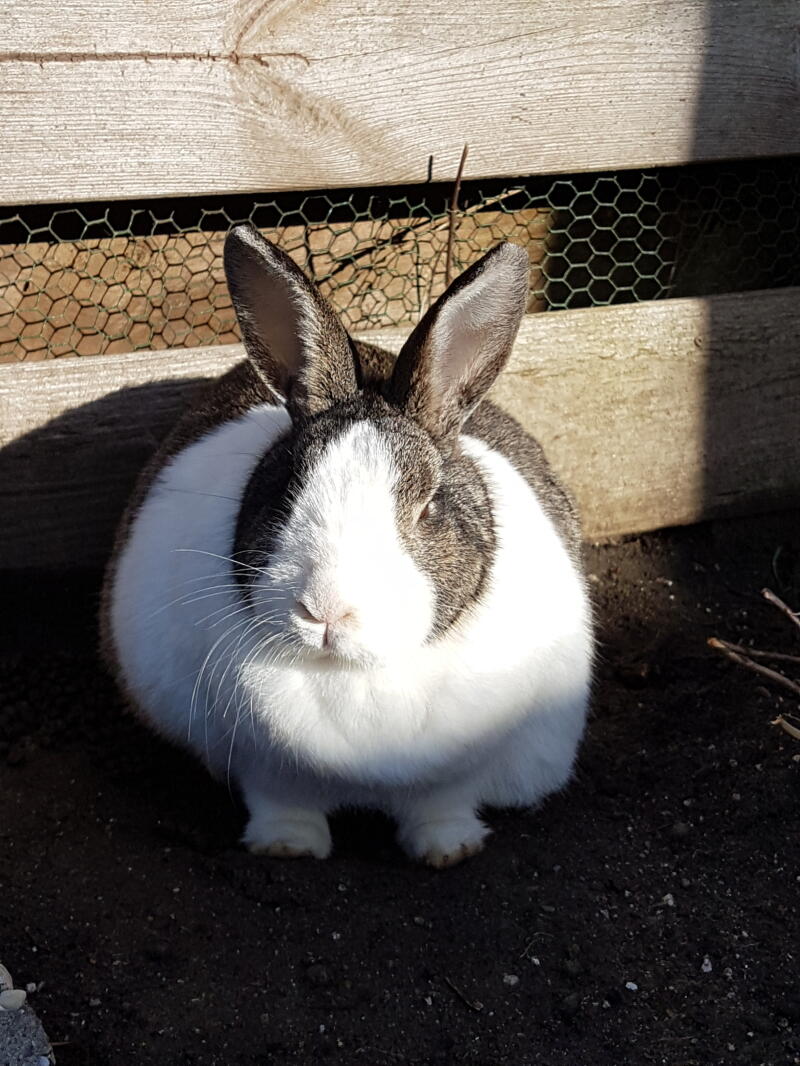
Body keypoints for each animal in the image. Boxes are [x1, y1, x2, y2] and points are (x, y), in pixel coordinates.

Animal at [101, 223, 593, 868]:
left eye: (428, 506)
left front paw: (448, 850)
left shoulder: (454, 774)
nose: (326, 611)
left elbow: (443, 803)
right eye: (286, 486)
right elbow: (282, 803)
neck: (353, 672)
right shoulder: (268, 770)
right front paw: (287, 848)